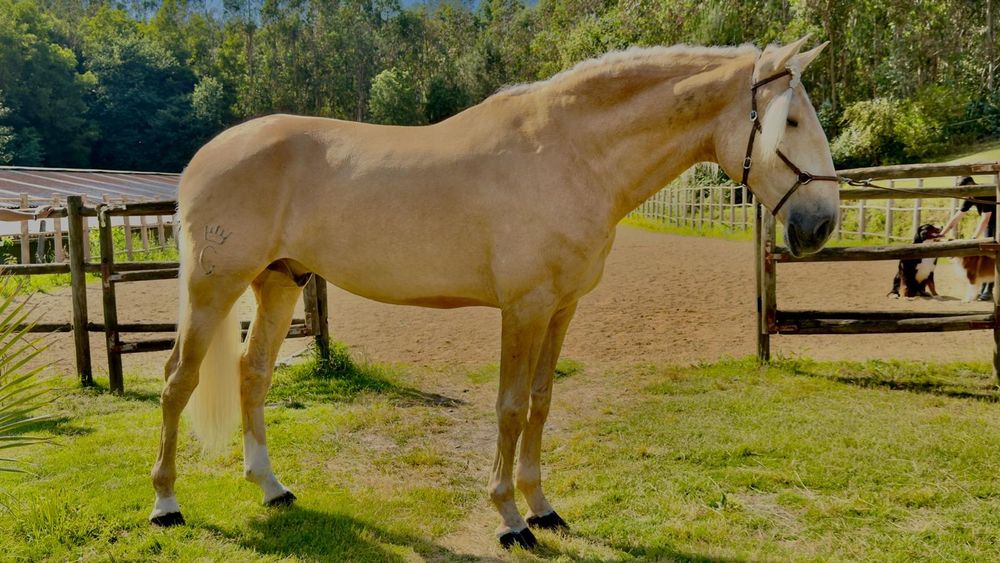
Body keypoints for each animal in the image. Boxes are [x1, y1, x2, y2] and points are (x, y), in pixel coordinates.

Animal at [149, 36, 839, 548]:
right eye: (789, 120)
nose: (821, 225)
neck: (570, 152)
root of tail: (205, 157)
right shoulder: (524, 308)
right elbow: (509, 408)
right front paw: (509, 519)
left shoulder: (562, 307)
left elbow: (540, 402)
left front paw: (543, 508)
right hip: (213, 287)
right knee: (179, 379)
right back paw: (167, 503)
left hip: (278, 282)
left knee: (253, 373)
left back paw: (272, 488)